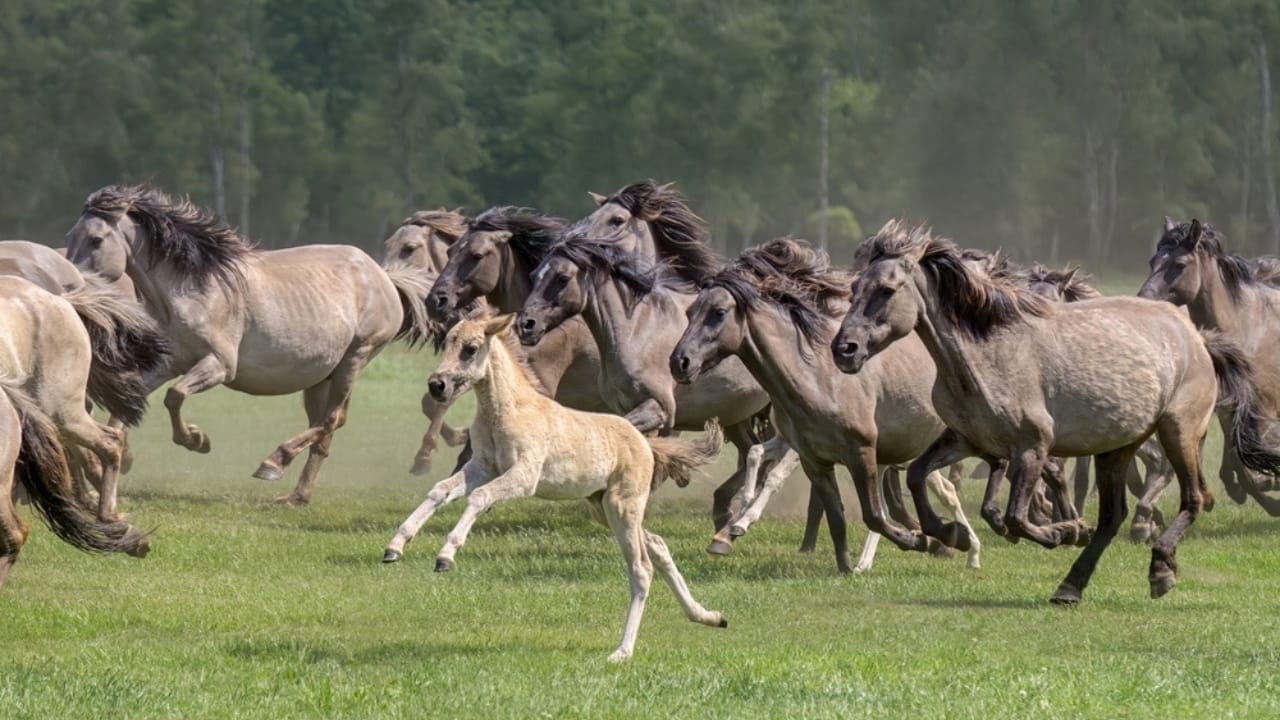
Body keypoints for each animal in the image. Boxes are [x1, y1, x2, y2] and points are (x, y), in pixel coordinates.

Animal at [0, 276, 150, 586]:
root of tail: (61, 301)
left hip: (60, 411)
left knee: (109, 443)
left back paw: (112, 519)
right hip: (50, 416)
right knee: (82, 457)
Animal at [65, 184, 436, 506]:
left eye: (96, 239)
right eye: (71, 237)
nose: (72, 288)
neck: (193, 289)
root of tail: (384, 277)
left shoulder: (219, 365)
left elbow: (175, 396)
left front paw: (196, 440)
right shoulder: (167, 363)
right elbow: (127, 408)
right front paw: (115, 460)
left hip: (355, 358)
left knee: (330, 420)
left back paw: (273, 463)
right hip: (320, 378)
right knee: (327, 426)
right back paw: (296, 496)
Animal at [385, 315, 727, 662]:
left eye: (470, 348)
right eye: (448, 342)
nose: (436, 385)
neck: (509, 410)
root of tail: (645, 443)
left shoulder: (524, 476)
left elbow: (480, 497)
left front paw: (446, 555)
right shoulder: (481, 467)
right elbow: (440, 490)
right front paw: (395, 546)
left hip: (622, 506)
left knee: (641, 569)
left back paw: (622, 651)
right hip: (602, 508)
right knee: (657, 545)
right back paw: (709, 616)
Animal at [670, 237, 980, 573]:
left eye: (718, 312)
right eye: (690, 312)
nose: (679, 362)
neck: (818, 380)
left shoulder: (860, 453)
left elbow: (871, 514)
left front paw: (927, 539)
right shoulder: (814, 460)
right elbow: (836, 517)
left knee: (939, 492)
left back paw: (965, 545)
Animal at [1139, 217, 1280, 514]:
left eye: (1180, 264)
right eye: (1152, 261)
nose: (1142, 301)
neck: (1248, 328)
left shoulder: (1264, 407)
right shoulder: (1231, 407)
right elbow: (1237, 461)